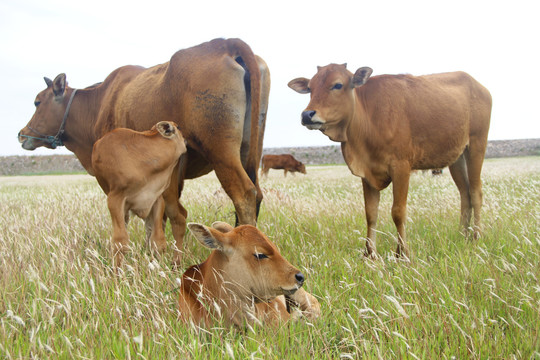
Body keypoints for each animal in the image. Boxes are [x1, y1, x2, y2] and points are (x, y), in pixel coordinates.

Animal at [91, 121, 188, 268]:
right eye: (179, 127)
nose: (186, 139)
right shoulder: (115, 200)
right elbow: (120, 241)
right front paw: (116, 272)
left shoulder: (157, 199)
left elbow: (158, 240)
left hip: (170, 197)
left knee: (179, 220)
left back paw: (176, 262)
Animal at [288, 63, 492, 258]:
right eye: (310, 87)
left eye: (337, 85)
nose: (307, 115)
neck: (368, 118)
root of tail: (479, 86)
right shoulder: (367, 174)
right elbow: (371, 213)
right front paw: (369, 253)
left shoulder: (401, 167)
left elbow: (398, 212)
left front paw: (402, 253)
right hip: (456, 158)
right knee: (464, 194)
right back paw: (462, 235)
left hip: (476, 146)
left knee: (476, 192)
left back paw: (476, 237)